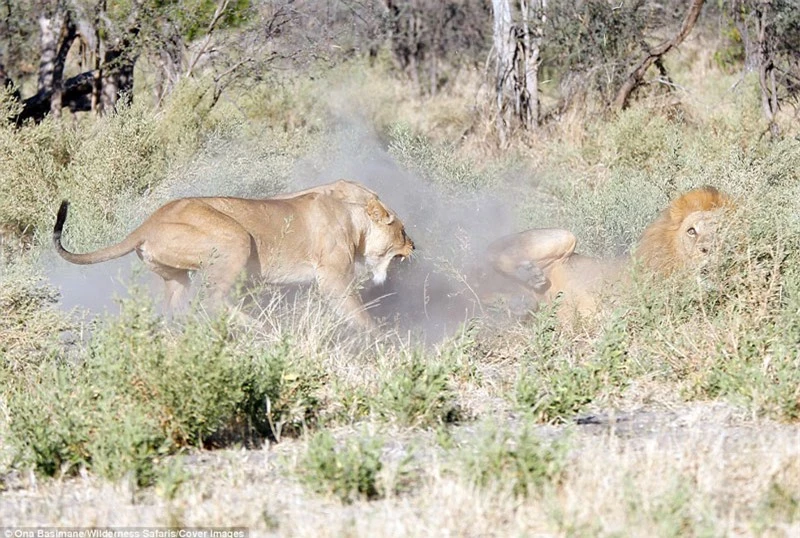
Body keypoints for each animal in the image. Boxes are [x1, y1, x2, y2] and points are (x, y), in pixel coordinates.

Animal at [51, 182, 412, 326]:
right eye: (402, 231)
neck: (354, 220)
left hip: (177, 277)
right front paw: (380, 339)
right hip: (235, 239)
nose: (414, 247)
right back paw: (257, 328)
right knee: (211, 301)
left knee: (176, 309)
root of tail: (147, 223)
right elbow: (358, 314)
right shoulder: (332, 278)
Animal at [476, 186, 732, 316]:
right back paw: (529, 276)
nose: (707, 249)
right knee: (489, 251)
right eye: (691, 231)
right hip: (565, 235)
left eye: (721, 229)